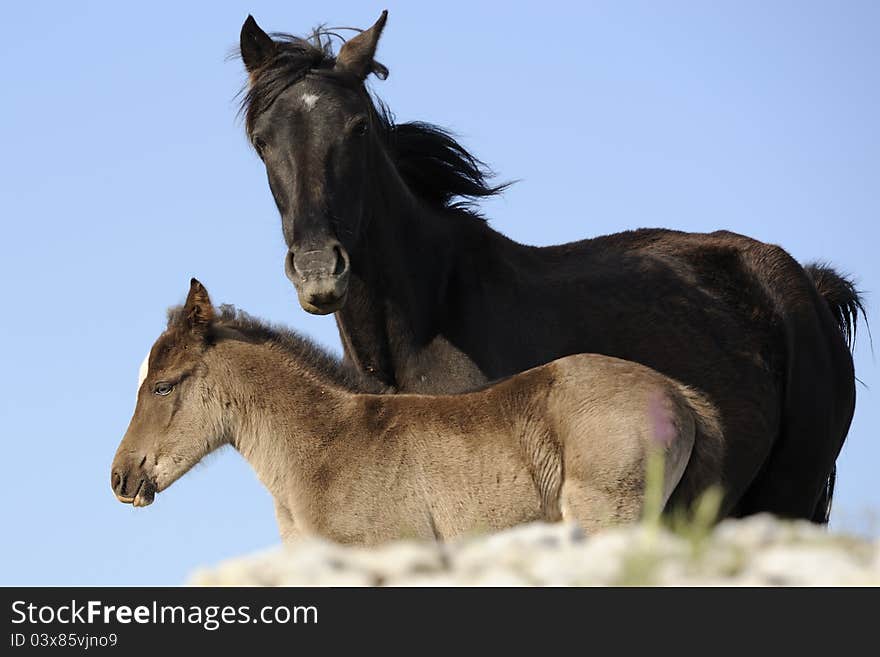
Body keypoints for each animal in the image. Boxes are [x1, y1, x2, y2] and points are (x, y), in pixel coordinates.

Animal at [237, 12, 864, 520]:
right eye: (262, 141)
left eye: (359, 126)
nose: (318, 270)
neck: (426, 322)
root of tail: (809, 287)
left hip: (787, 494)